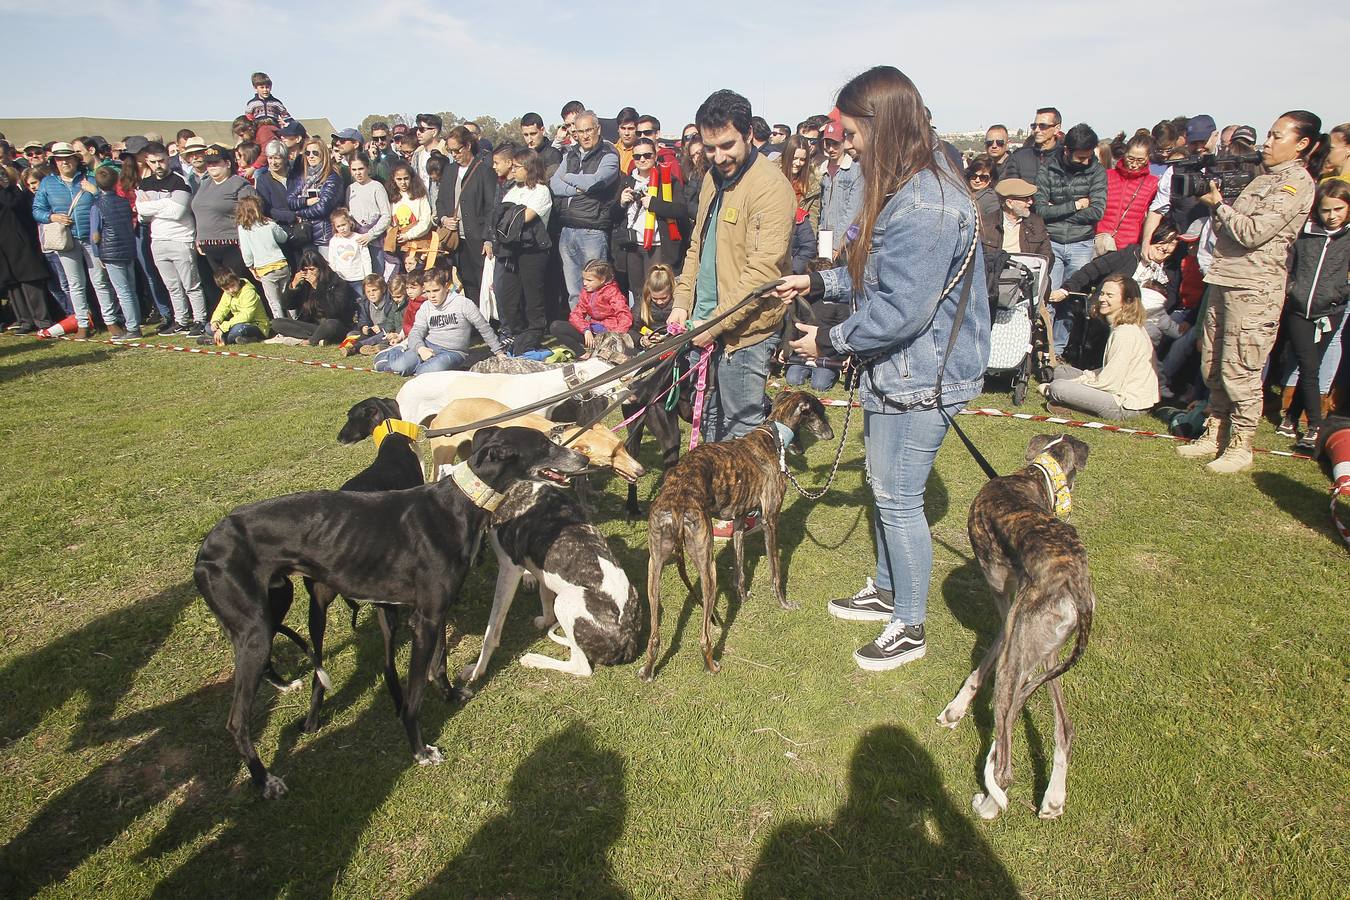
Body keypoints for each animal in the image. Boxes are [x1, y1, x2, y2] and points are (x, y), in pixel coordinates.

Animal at [194, 426, 585, 798]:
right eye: (545, 444)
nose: (581, 460)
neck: (460, 504)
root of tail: (206, 548)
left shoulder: (437, 611)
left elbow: (439, 665)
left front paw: (450, 697)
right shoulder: (423, 620)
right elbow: (415, 695)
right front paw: (420, 751)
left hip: (274, 605)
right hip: (259, 629)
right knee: (237, 721)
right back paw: (265, 781)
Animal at [639, 391, 831, 680]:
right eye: (820, 411)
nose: (832, 434)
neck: (771, 435)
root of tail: (677, 504)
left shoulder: (740, 521)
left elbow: (740, 569)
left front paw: (743, 597)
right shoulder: (770, 520)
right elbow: (776, 573)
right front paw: (784, 604)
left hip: (655, 565)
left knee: (653, 634)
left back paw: (649, 668)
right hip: (706, 564)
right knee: (704, 636)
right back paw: (711, 664)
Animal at [939, 431, 1096, 820]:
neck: (1033, 477)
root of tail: (1076, 585)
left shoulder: (1003, 600)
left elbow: (987, 656)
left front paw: (957, 708)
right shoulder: (1013, 618)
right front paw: (958, 707)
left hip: (1020, 651)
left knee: (1005, 769)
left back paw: (988, 805)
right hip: (1045, 650)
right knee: (1064, 727)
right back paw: (1053, 798)